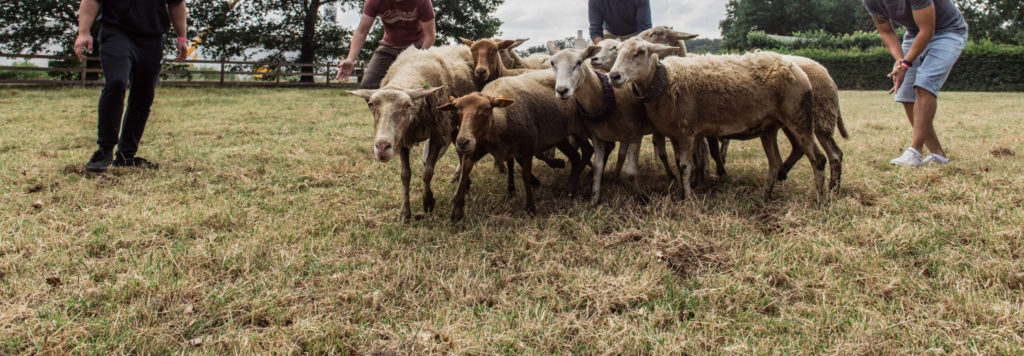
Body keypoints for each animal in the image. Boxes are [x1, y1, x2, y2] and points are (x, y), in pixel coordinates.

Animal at [348, 45, 479, 220]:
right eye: (371, 104)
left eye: (408, 105)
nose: (382, 148)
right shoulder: (402, 139)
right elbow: (405, 175)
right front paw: (405, 212)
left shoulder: (437, 134)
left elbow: (427, 171)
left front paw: (428, 201)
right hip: (450, 126)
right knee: (460, 153)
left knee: (463, 155)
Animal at [438, 70, 593, 220]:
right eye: (456, 110)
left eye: (487, 109)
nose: (462, 142)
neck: (500, 120)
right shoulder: (480, 146)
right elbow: (465, 170)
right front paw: (457, 210)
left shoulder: (527, 146)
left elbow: (525, 174)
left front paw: (530, 207)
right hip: (559, 134)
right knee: (575, 156)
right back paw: (570, 183)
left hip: (579, 128)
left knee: (588, 150)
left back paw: (573, 185)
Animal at [552, 45, 679, 204]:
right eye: (552, 64)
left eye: (579, 62)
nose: (562, 90)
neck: (602, 95)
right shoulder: (598, 138)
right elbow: (598, 168)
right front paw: (595, 198)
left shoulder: (635, 135)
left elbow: (631, 172)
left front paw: (642, 197)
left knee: (663, 154)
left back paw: (671, 176)